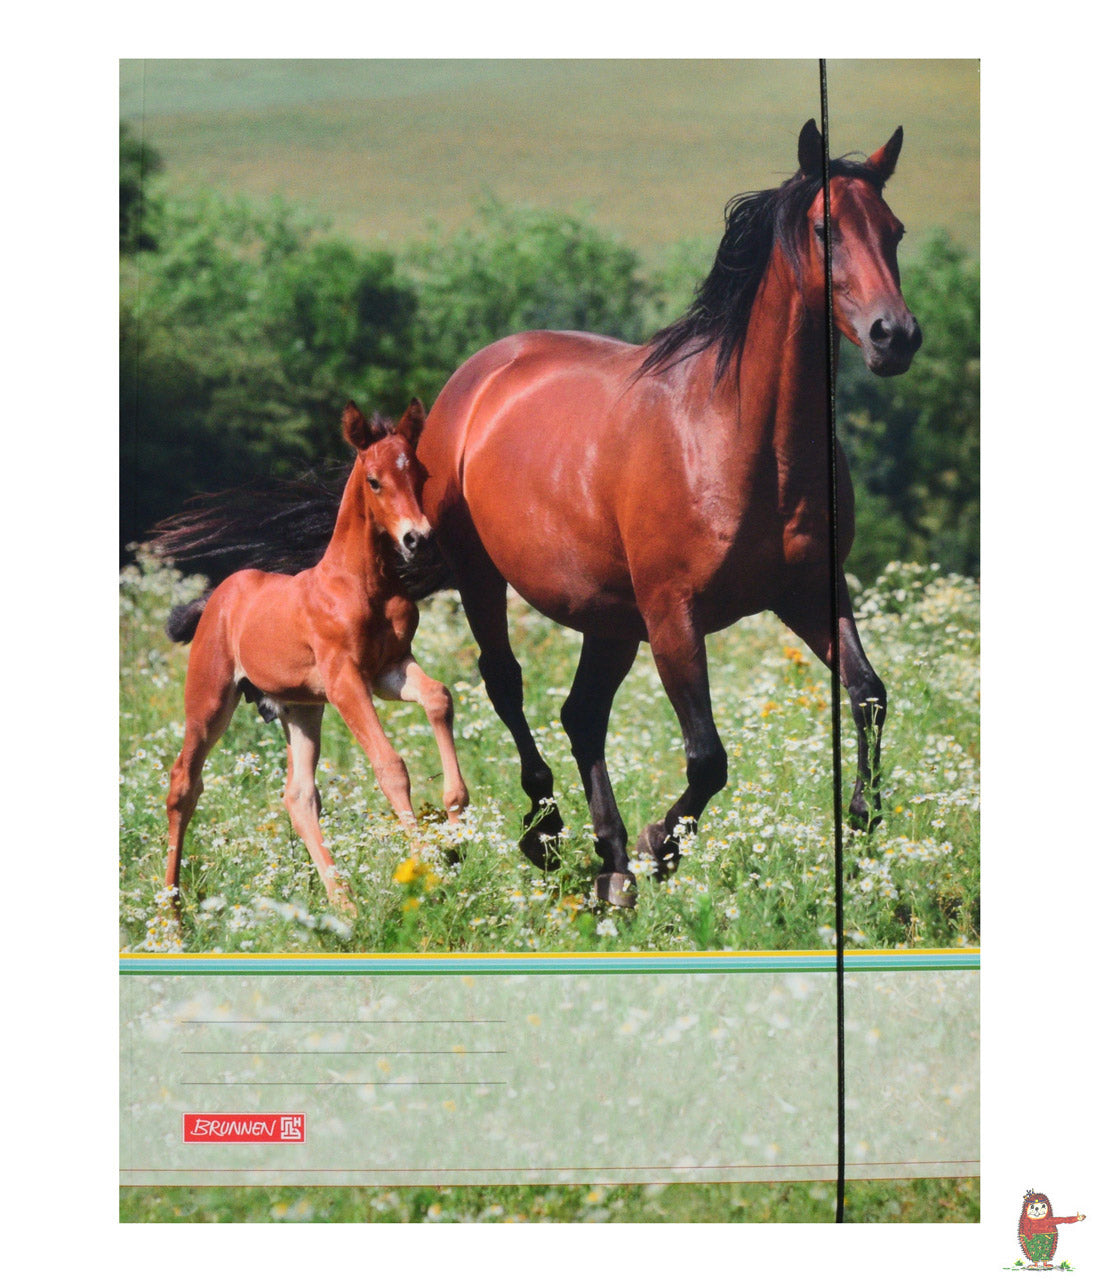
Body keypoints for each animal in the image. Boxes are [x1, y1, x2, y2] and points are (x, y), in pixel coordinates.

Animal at [162, 399, 469, 917]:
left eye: (420, 472)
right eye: (374, 480)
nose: (418, 539)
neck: (361, 583)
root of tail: (218, 596)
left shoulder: (390, 670)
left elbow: (439, 697)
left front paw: (457, 812)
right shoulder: (346, 680)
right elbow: (390, 765)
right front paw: (428, 870)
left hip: (301, 710)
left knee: (299, 796)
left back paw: (342, 902)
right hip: (209, 699)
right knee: (184, 783)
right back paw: (171, 913)